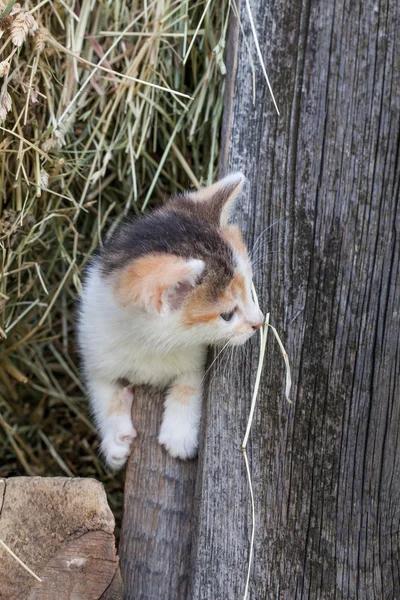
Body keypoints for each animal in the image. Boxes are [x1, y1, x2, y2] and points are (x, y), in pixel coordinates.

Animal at [78, 173, 266, 468]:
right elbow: (103, 393)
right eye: (227, 315)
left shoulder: (194, 358)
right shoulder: (95, 347)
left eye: (250, 289)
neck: (149, 344)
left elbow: (189, 384)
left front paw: (179, 436)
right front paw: (115, 442)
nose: (259, 322)